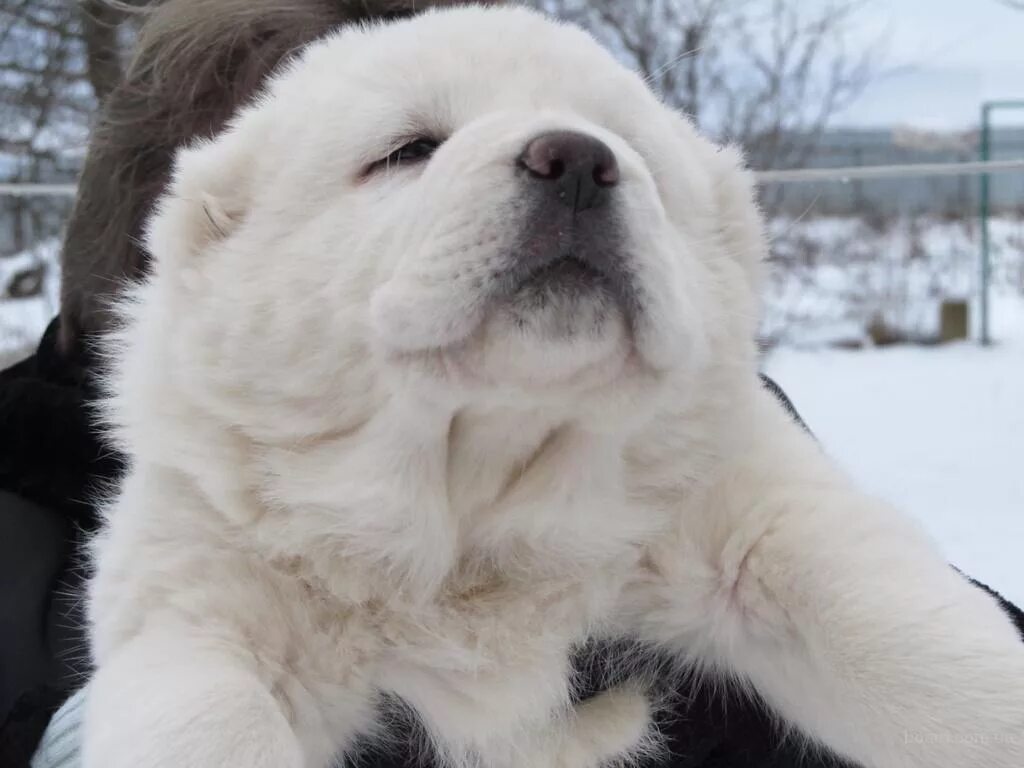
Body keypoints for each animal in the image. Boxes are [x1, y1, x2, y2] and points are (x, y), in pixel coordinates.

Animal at [86, 6, 1024, 768]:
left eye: (633, 149)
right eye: (408, 149)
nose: (575, 159)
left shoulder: (755, 512)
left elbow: (916, 642)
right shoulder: (201, 591)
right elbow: (209, 715)